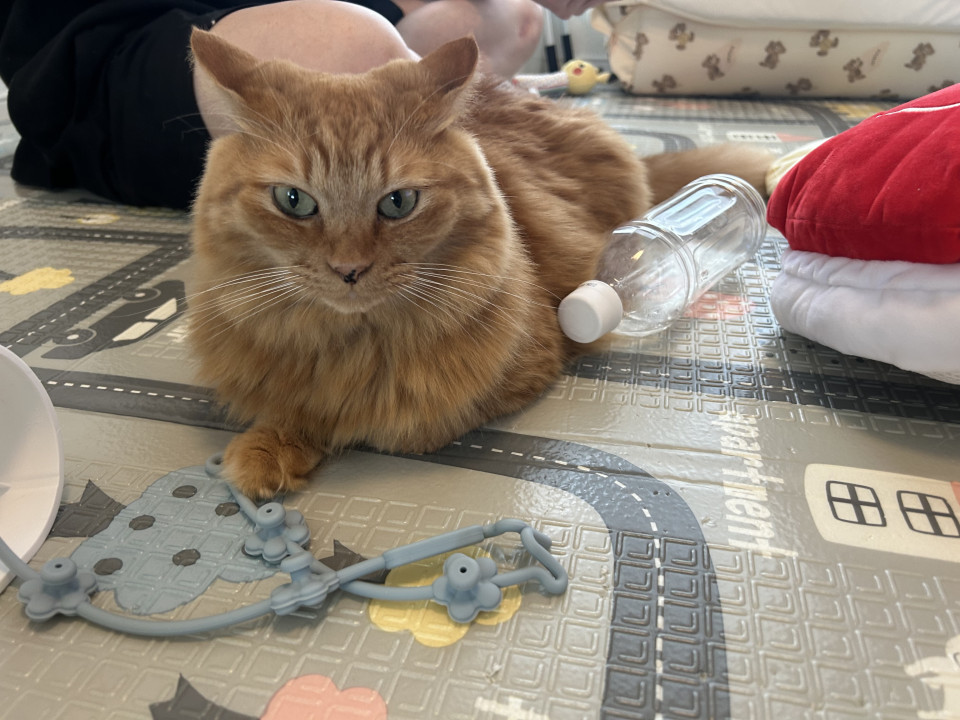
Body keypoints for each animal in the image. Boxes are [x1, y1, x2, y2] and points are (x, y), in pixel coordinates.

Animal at [187, 30, 771, 499]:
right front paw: (270, 446)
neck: (352, 345)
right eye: (294, 201)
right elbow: (294, 406)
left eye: (398, 203)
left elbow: (380, 421)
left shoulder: (519, 370)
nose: (348, 269)